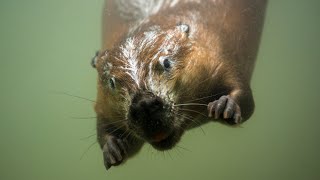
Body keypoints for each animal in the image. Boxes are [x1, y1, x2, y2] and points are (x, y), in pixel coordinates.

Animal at [92, 0, 268, 170]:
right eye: (111, 82)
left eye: (166, 62)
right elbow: (104, 126)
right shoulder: (102, 104)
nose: (144, 104)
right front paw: (113, 148)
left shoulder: (217, 53)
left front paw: (224, 106)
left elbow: (243, 95)